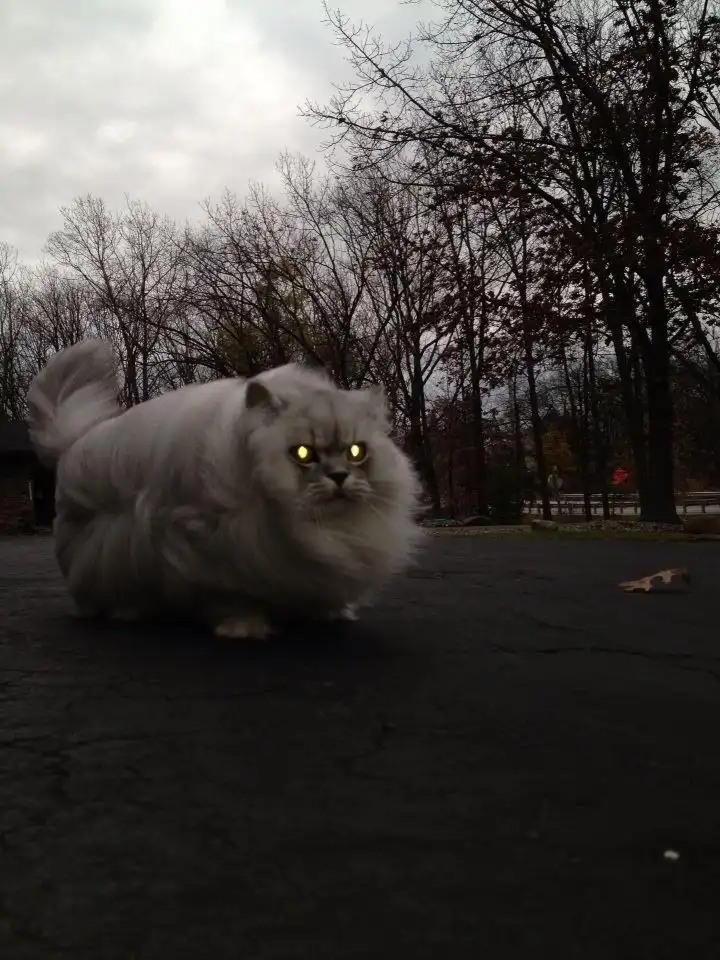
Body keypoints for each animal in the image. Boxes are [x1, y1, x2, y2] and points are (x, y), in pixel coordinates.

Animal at [27, 340, 423, 639]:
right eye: (303, 454)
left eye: (357, 452)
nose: (339, 477)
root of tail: (74, 444)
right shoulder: (211, 545)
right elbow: (233, 595)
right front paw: (245, 627)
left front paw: (331, 612)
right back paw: (129, 611)